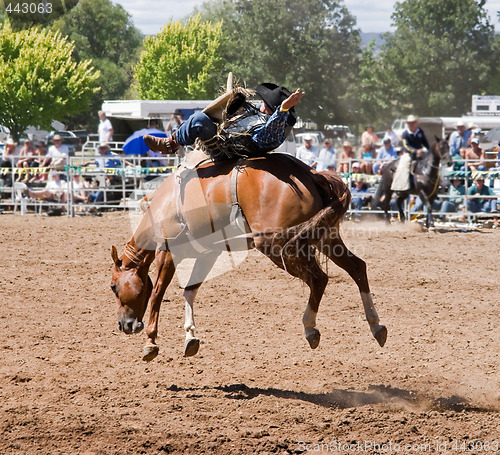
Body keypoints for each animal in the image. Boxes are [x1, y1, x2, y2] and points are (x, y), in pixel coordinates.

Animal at [109, 152, 386, 360]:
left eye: (113, 287)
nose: (125, 325)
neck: (164, 206)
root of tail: (311, 174)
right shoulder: (208, 253)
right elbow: (190, 291)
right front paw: (190, 336)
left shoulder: (167, 252)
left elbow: (157, 293)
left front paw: (151, 342)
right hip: (325, 236)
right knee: (357, 267)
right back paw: (376, 325)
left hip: (278, 244)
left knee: (319, 279)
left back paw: (311, 328)